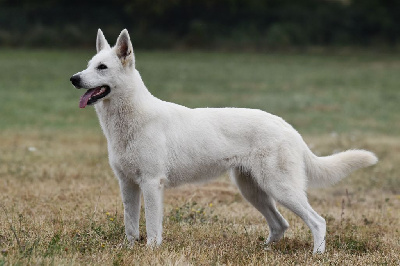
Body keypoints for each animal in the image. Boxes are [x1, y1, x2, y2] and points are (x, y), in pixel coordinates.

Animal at [69, 29, 378, 254]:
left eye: (102, 67)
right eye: (88, 66)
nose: (73, 78)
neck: (130, 120)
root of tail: (287, 126)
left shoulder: (151, 184)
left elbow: (152, 228)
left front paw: (151, 251)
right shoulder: (128, 185)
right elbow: (131, 226)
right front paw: (128, 249)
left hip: (281, 189)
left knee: (317, 221)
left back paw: (317, 254)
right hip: (253, 191)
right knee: (281, 225)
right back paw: (263, 251)